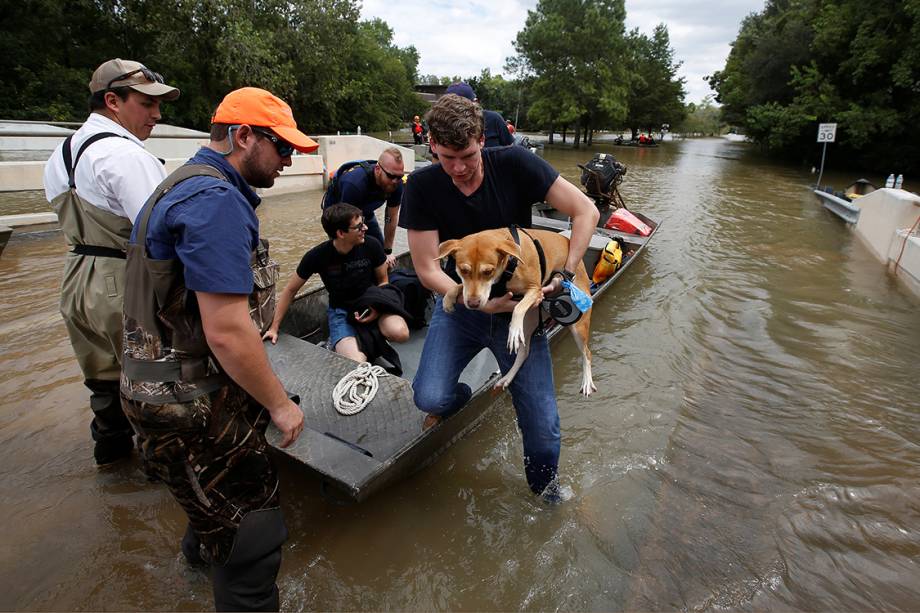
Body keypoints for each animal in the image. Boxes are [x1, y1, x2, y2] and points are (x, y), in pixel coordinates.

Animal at [436, 227, 596, 394]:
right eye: (463, 270)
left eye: (488, 271)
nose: (473, 304)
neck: (508, 266)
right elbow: (461, 286)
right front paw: (449, 297)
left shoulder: (535, 290)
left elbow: (518, 308)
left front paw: (512, 331)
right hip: (529, 321)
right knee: (524, 352)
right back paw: (507, 377)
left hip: (578, 325)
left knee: (587, 352)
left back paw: (587, 382)